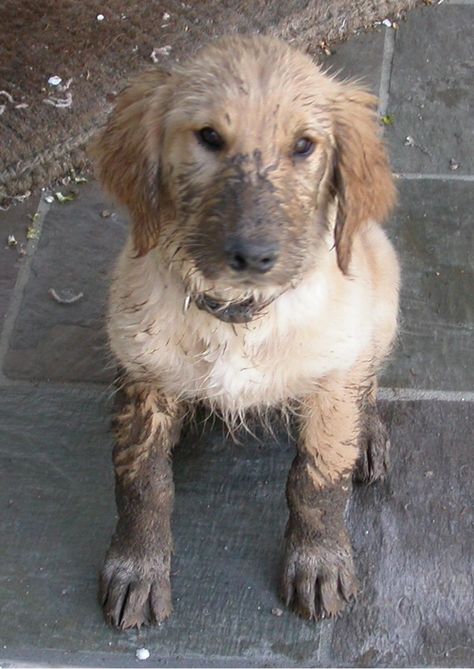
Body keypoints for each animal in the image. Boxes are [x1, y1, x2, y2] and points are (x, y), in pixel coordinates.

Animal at [93, 35, 400, 632]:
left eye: (304, 146)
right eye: (210, 137)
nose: (253, 256)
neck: (239, 316)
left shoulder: (330, 381)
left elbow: (317, 480)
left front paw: (319, 560)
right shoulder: (142, 373)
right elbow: (143, 482)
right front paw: (137, 566)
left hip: (382, 285)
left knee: (368, 374)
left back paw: (369, 432)